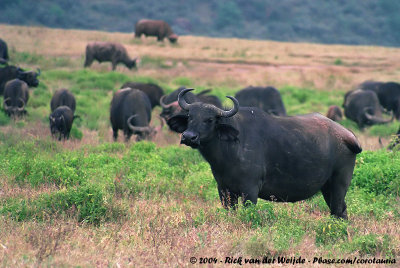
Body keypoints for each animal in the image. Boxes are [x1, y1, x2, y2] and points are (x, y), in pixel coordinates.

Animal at [170, 89, 364, 219]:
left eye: (209, 120)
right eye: (190, 117)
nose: (188, 136)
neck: (231, 149)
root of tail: (347, 135)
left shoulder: (250, 190)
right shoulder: (224, 190)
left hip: (340, 183)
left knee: (338, 210)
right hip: (327, 187)